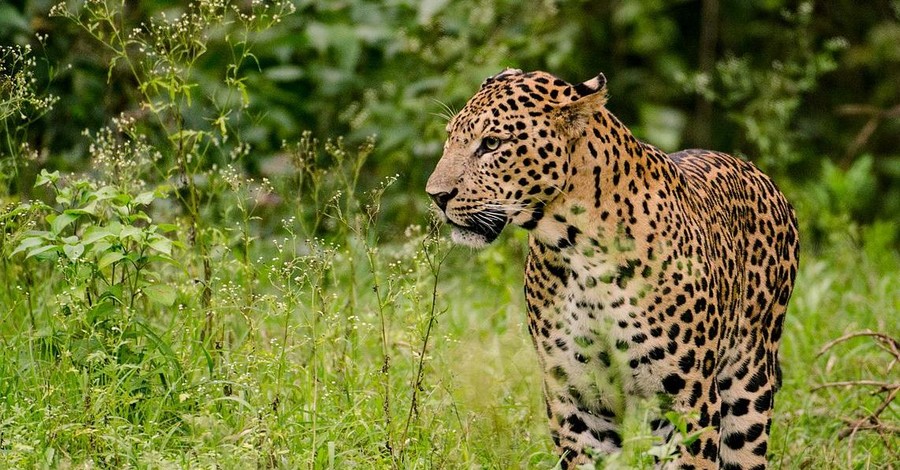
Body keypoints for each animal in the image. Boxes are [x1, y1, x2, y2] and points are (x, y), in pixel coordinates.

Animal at [426, 68, 800, 468]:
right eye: (449, 137)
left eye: (492, 144)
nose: (436, 195)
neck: (579, 252)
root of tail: (758, 172)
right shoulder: (577, 399)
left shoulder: (688, 399)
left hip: (748, 383)